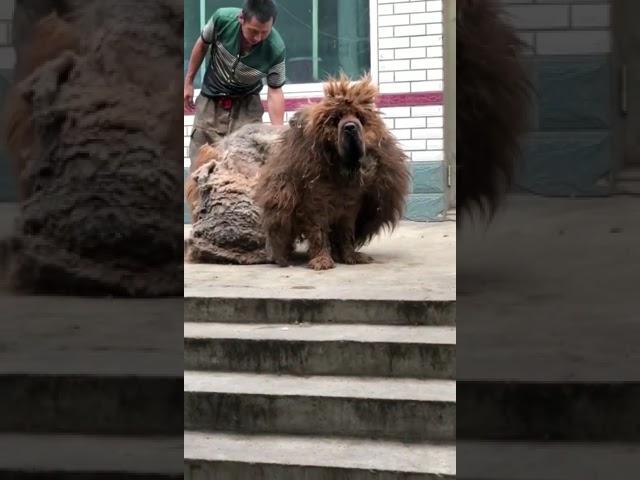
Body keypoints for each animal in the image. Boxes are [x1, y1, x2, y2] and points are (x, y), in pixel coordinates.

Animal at [254, 76, 410, 270]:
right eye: (335, 119)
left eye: (359, 117)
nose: (350, 127)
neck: (342, 171)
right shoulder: (316, 206)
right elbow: (319, 233)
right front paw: (322, 259)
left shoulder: (350, 208)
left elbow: (346, 233)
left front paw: (350, 256)